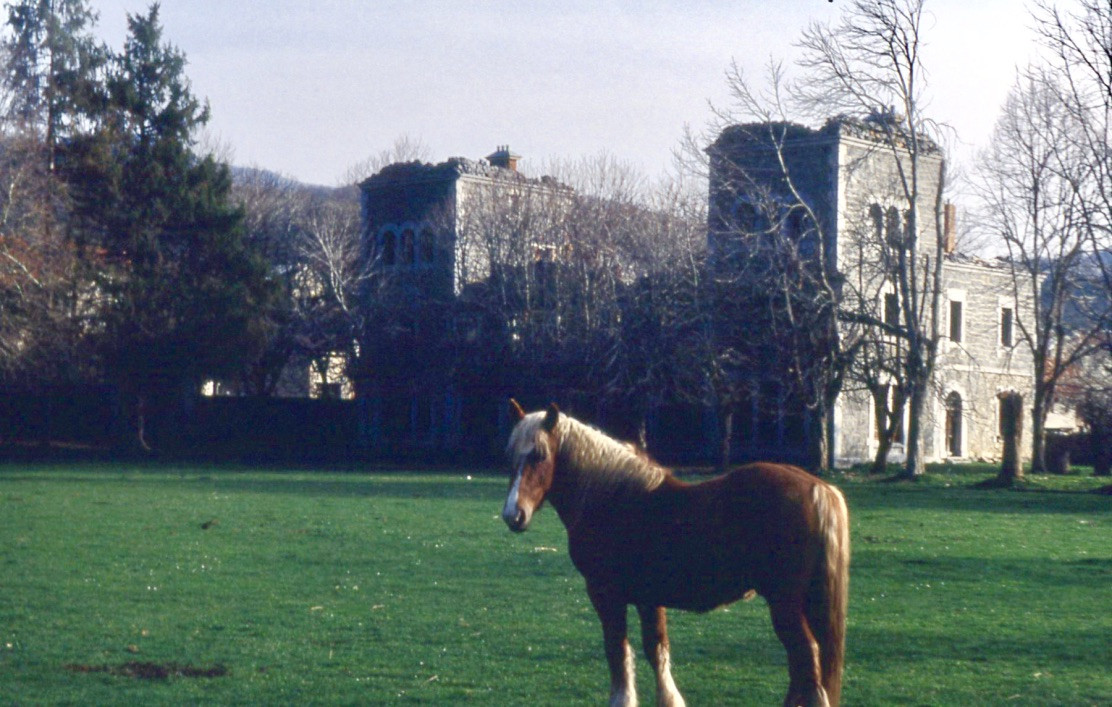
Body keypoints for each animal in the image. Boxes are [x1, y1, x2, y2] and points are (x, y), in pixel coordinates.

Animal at [502, 402, 849, 707]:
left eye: (540, 455)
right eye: (510, 456)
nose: (513, 516)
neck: (613, 498)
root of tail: (818, 488)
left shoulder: (607, 595)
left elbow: (618, 650)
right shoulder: (648, 599)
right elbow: (656, 650)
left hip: (785, 603)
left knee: (806, 657)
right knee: (804, 666)